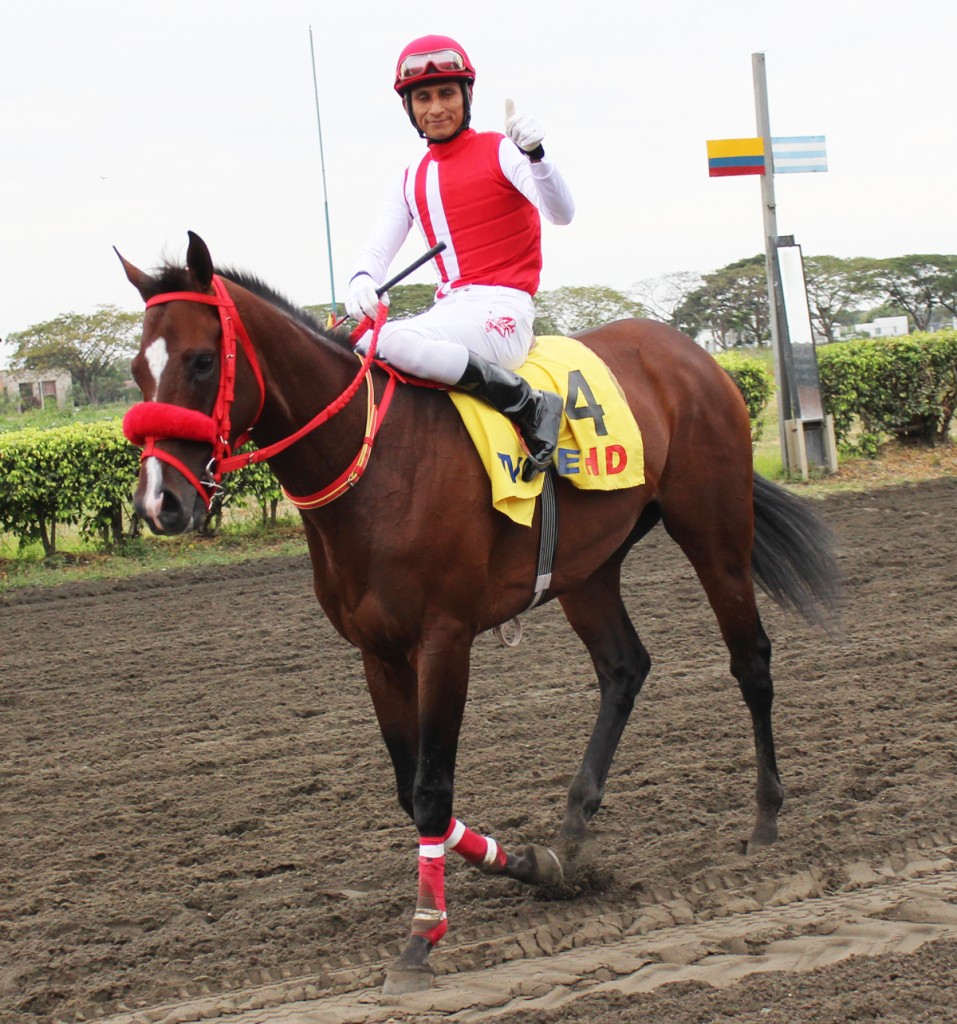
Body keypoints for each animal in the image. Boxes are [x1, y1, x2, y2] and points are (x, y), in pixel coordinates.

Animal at [117, 230, 839, 991]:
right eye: (138, 370)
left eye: (200, 360)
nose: (160, 503)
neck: (375, 465)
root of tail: (686, 350)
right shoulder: (377, 652)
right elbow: (412, 794)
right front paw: (532, 865)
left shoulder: (444, 638)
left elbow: (433, 789)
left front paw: (422, 934)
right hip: (588, 568)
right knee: (624, 668)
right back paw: (571, 831)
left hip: (713, 531)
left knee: (749, 661)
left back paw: (765, 819)